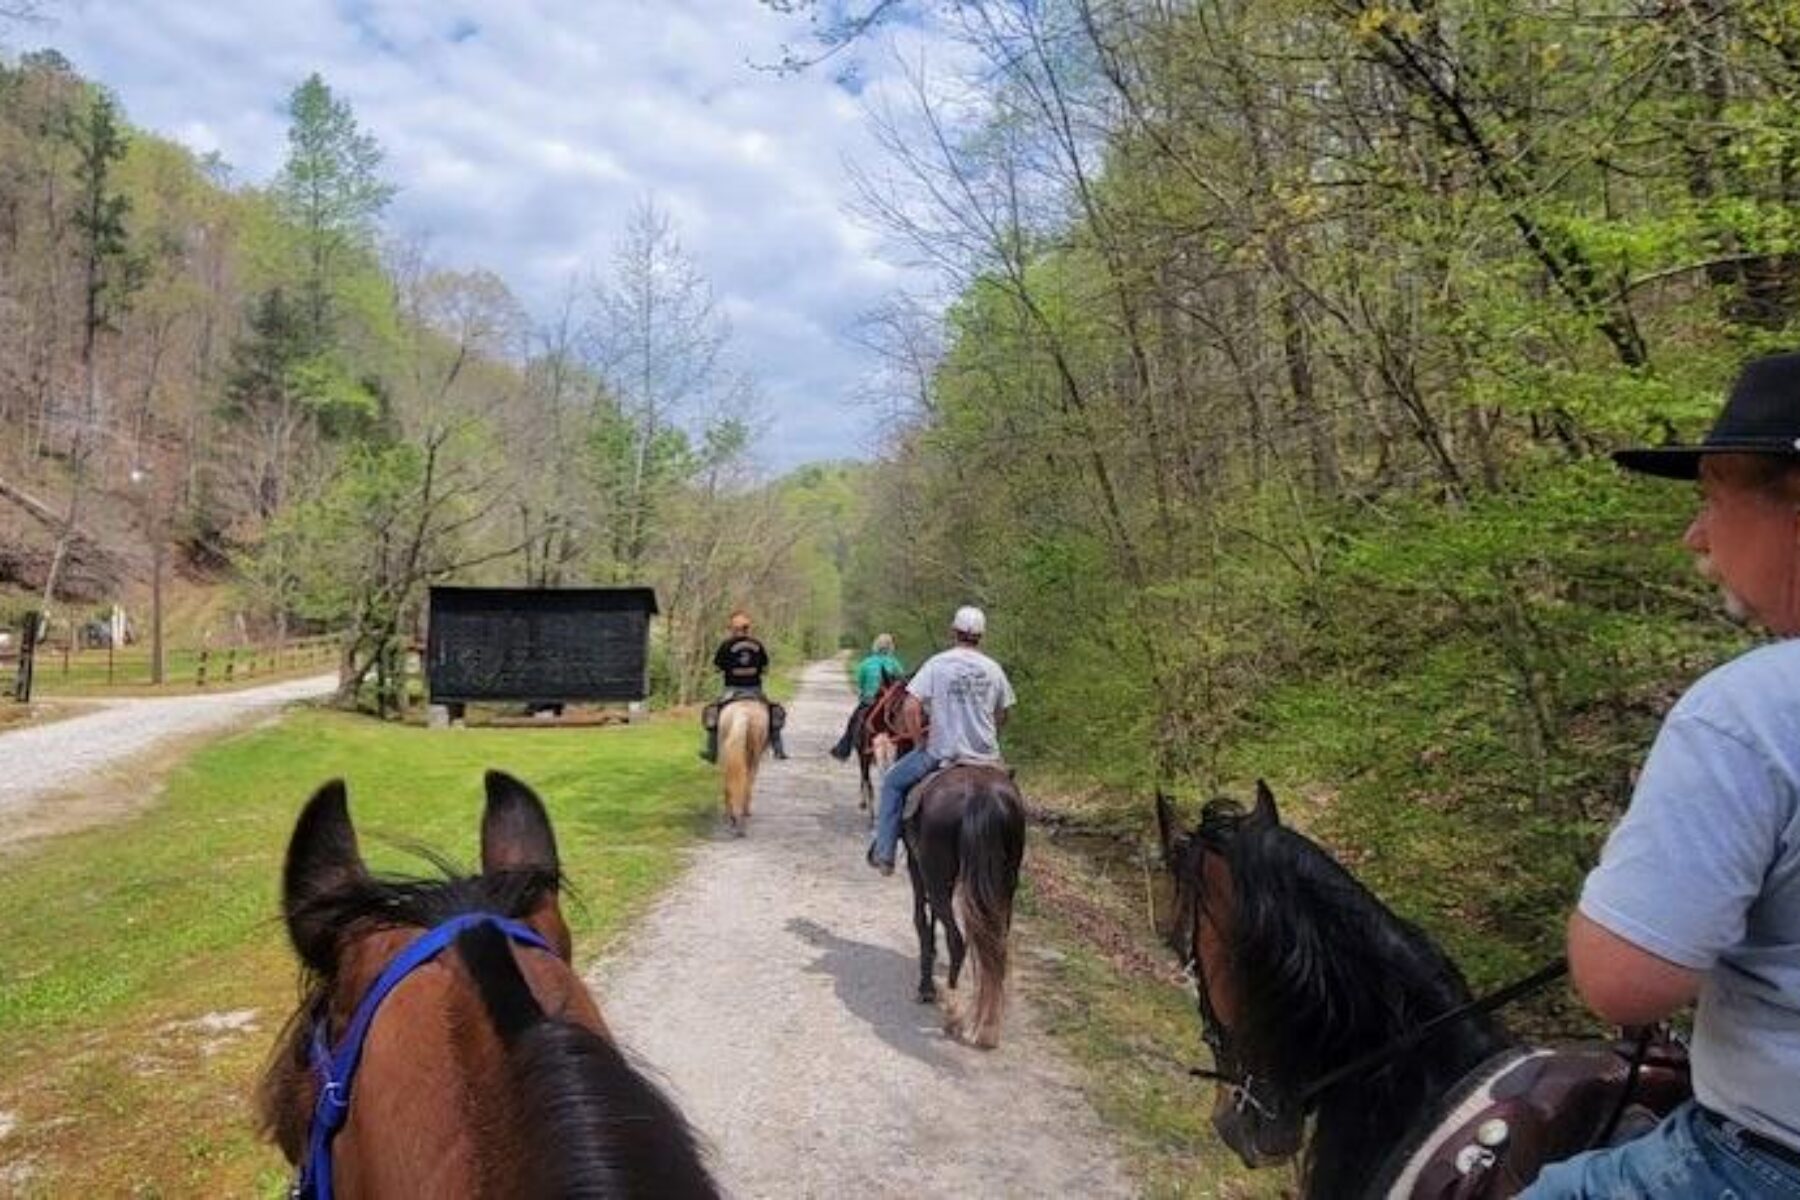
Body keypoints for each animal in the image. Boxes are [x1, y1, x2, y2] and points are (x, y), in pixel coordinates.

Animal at [720, 698, 770, 841]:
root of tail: (742, 713)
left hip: (725, 754)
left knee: (728, 784)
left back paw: (731, 817)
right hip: (753, 756)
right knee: (746, 785)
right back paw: (742, 821)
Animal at [900, 766, 1029, 1043]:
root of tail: (981, 795)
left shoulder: (916, 866)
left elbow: (921, 920)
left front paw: (926, 987)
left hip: (936, 876)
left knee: (957, 940)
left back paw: (953, 1013)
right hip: (1006, 885)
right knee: (995, 945)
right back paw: (989, 1026)